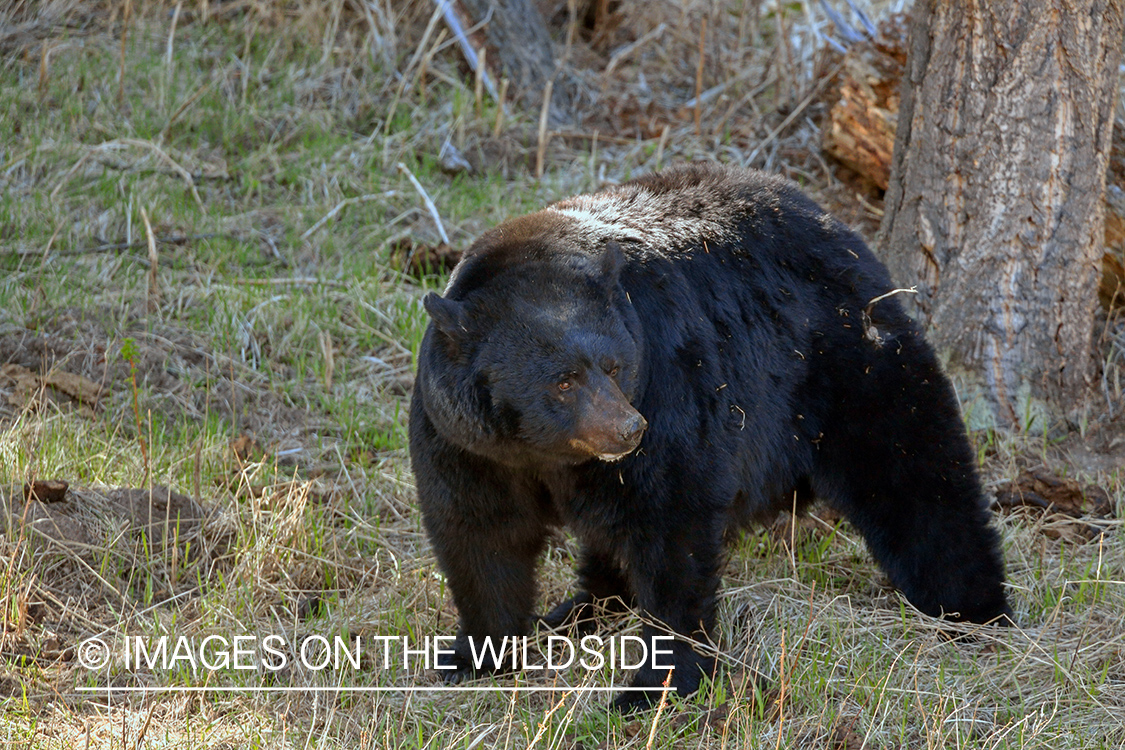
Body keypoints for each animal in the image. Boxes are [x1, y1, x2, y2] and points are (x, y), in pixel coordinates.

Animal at [411, 163, 1012, 710]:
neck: (543, 454)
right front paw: (473, 657)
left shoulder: (671, 389)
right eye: (563, 380)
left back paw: (973, 611)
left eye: (612, 365)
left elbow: (671, 526)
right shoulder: (465, 442)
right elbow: (481, 536)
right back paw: (583, 609)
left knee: (916, 477)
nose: (628, 429)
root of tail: (839, 228)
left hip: (847, 365)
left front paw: (656, 684)